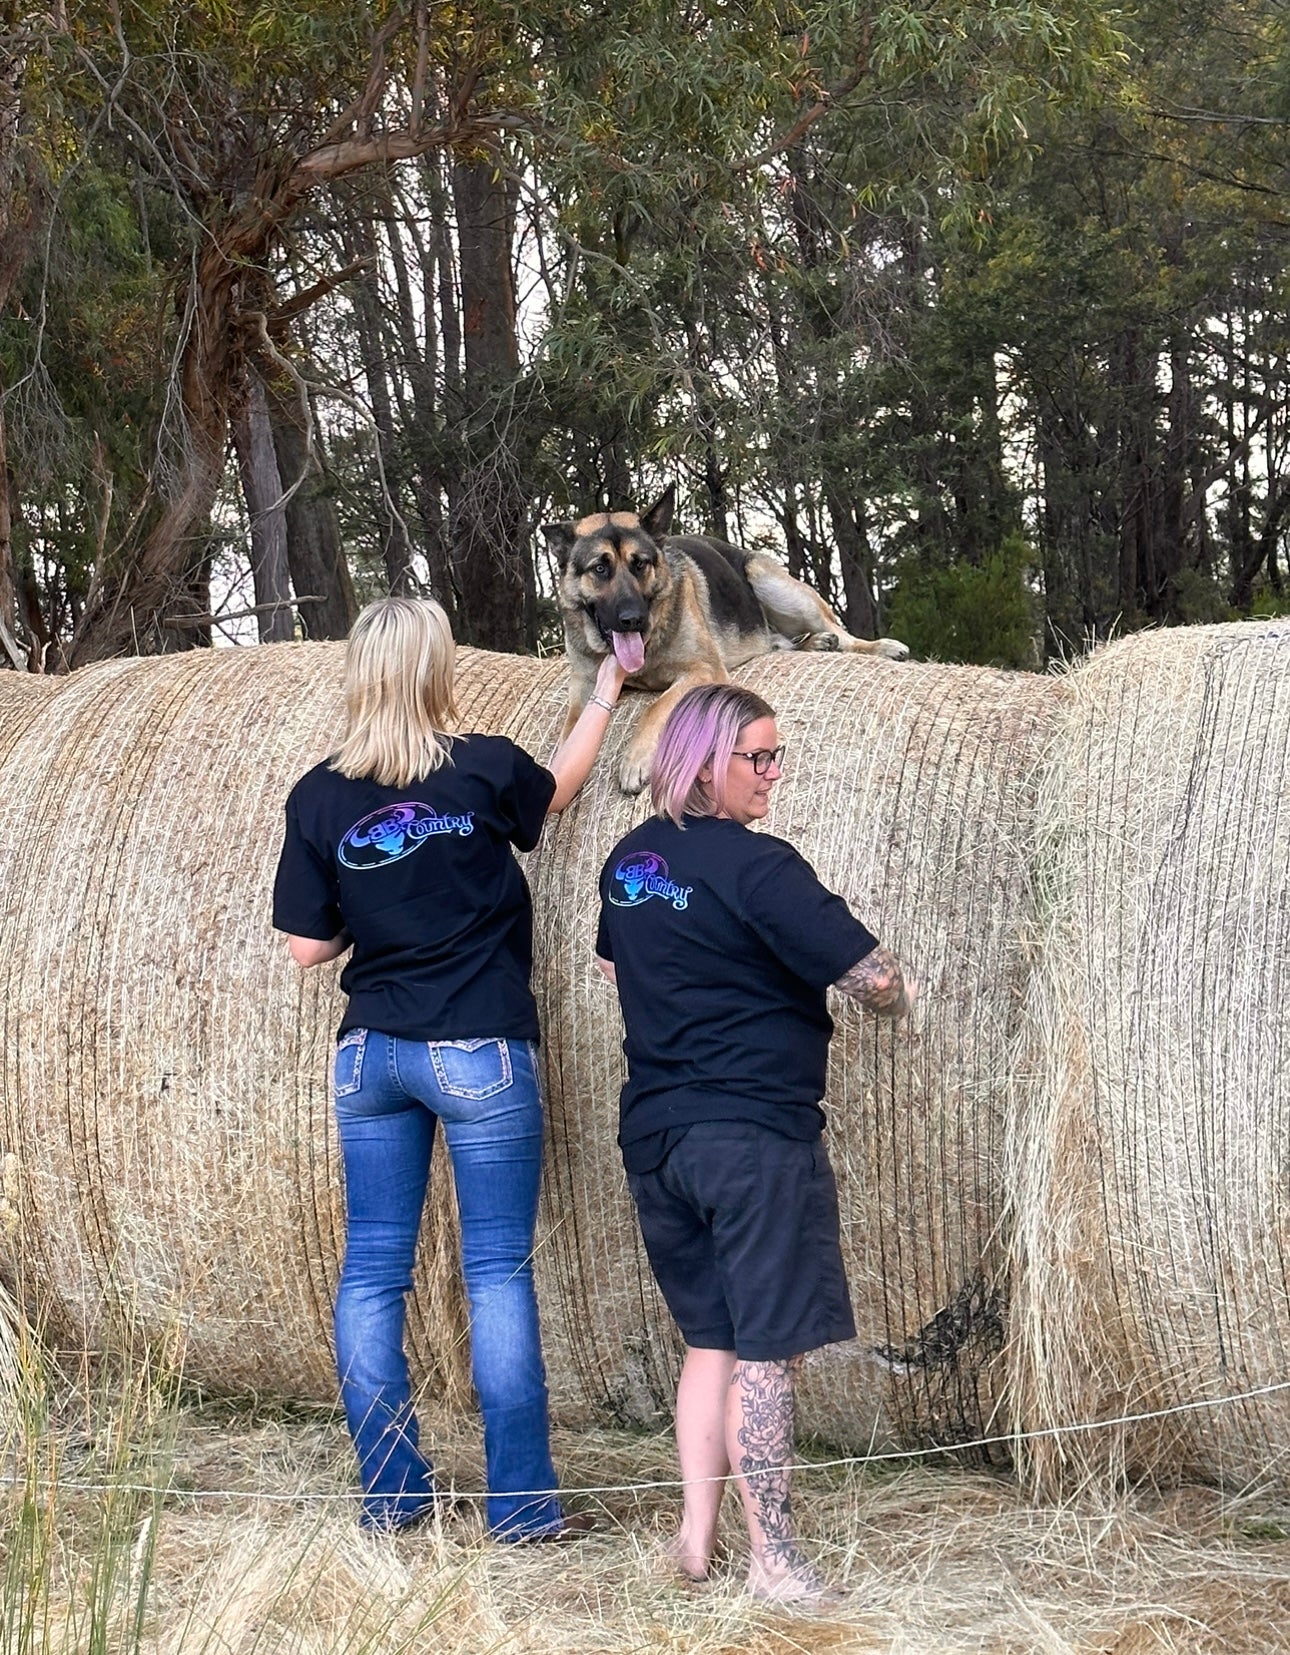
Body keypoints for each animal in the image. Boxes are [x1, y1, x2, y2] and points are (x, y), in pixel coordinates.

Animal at [546, 483, 907, 794]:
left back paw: (879, 646)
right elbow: (568, 733)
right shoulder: (584, 689)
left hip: (770, 582)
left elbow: (657, 706)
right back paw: (816, 643)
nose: (633, 618)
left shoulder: (704, 669)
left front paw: (635, 759)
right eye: (600, 568)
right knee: (783, 642)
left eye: (640, 564)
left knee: (839, 632)